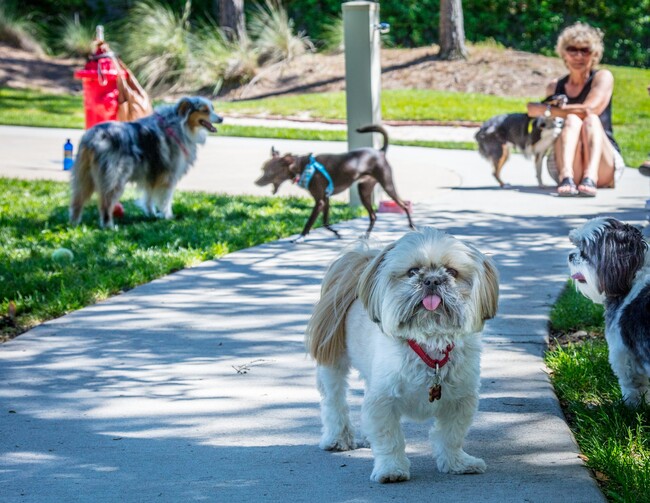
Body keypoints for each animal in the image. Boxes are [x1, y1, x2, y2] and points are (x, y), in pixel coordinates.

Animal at [70, 96, 223, 228]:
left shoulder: (151, 174)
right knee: (105, 202)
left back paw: (74, 223)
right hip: (114, 177)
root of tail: (93, 137)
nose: (221, 118)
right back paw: (109, 226)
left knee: (77, 200)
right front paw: (168, 216)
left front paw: (151, 214)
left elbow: (149, 196)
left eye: (212, 108)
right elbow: (166, 198)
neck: (179, 124)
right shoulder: (168, 175)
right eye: (205, 110)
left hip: (84, 176)